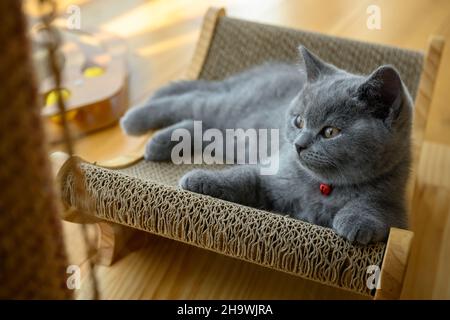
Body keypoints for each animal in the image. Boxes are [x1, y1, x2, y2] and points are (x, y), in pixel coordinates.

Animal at [119, 46, 412, 244]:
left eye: (331, 131)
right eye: (298, 120)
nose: (298, 145)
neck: (322, 187)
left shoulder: (395, 201)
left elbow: (379, 208)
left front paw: (356, 220)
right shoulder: (270, 172)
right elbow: (241, 177)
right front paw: (198, 179)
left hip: (236, 138)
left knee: (201, 127)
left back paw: (159, 142)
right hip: (231, 107)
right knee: (194, 100)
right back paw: (134, 120)